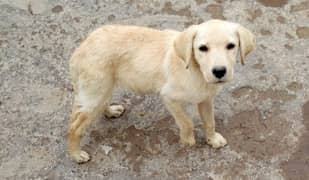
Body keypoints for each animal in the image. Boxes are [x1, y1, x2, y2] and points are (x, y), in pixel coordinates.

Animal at [68, 19, 255, 162]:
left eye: (231, 46)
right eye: (203, 48)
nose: (219, 71)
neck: (196, 70)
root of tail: (80, 49)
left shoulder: (206, 99)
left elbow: (210, 121)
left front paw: (213, 139)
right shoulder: (169, 97)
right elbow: (187, 122)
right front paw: (188, 141)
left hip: (101, 90)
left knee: (99, 105)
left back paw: (110, 110)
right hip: (96, 91)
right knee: (75, 126)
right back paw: (76, 155)